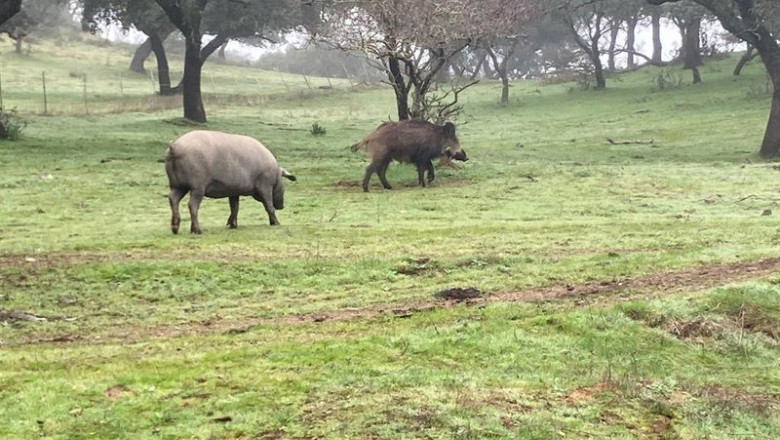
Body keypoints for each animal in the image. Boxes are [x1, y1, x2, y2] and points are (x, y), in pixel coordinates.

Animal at [164, 130, 296, 234]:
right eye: (283, 185)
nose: (282, 206)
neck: (275, 173)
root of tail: (173, 147)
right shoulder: (265, 186)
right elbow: (269, 206)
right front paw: (277, 224)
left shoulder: (234, 191)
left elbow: (234, 207)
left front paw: (232, 225)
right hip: (197, 186)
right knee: (192, 205)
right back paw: (198, 231)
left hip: (178, 186)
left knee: (173, 199)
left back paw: (175, 229)